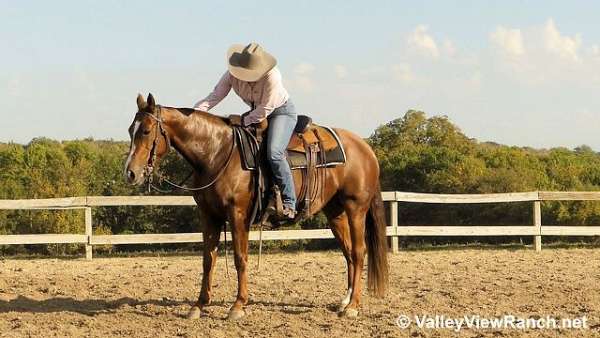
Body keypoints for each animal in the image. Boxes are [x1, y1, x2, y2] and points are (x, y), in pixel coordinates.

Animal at [125, 93, 390, 320]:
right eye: (130, 130)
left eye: (146, 131)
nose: (130, 173)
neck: (217, 153)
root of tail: (365, 148)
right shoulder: (208, 215)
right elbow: (208, 259)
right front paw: (199, 305)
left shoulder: (238, 215)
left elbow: (240, 258)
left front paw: (238, 306)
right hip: (335, 212)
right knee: (348, 253)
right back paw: (344, 302)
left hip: (356, 209)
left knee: (359, 252)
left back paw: (353, 307)